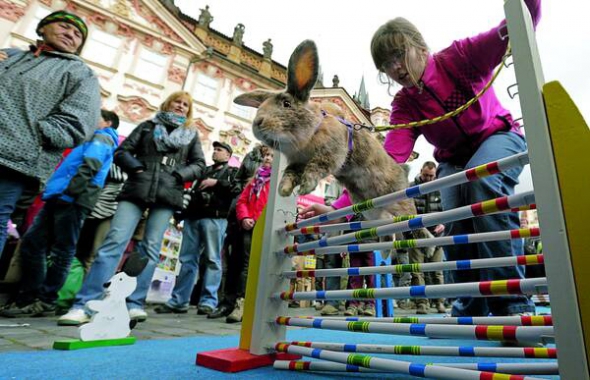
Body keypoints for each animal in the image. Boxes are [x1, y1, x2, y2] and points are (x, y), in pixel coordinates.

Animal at [235, 40, 434, 255]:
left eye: (286, 104)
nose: (257, 124)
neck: (313, 129)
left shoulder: (331, 153)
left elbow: (317, 167)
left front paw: (305, 186)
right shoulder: (296, 163)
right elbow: (289, 174)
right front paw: (284, 190)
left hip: (400, 201)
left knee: (412, 220)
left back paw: (429, 247)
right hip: (372, 209)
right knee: (389, 224)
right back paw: (386, 248)